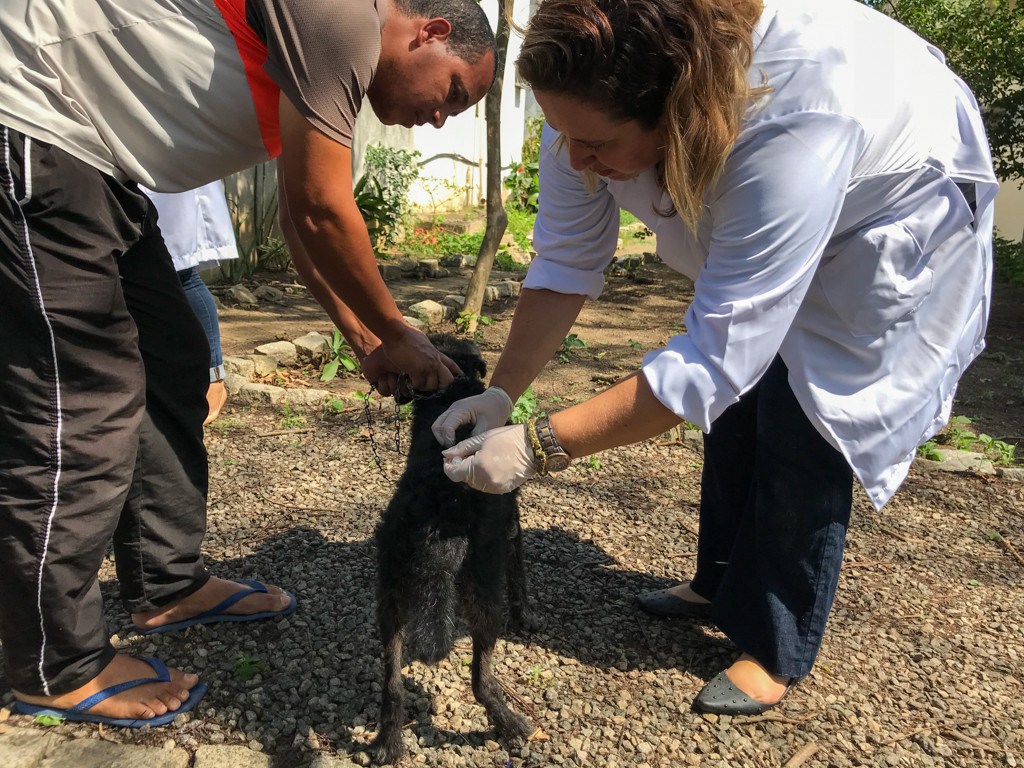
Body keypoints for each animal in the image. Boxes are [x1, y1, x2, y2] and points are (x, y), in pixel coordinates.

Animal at [372, 335, 540, 765]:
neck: (453, 389)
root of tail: (438, 524)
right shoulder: (512, 526)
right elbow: (520, 577)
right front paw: (527, 617)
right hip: (483, 595)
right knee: (480, 679)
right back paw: (511, 724)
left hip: (391, 596)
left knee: (392, 683)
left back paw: (388, 742)